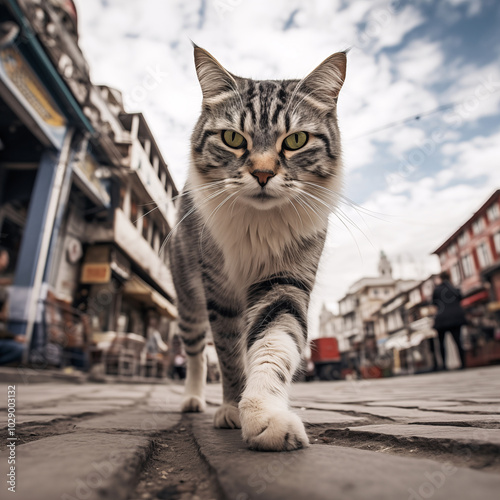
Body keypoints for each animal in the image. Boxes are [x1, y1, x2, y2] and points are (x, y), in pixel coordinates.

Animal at [170, 47, 346, 452]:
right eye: (233, 138)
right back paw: (193, 399)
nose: (263, 174)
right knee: (195, 355)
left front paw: (264, 415)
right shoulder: (220, 297)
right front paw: (231, 408)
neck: (258, 225)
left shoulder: (283, 284)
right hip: (189, 302)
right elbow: (229, 357)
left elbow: (272, 348)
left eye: (296, 140)